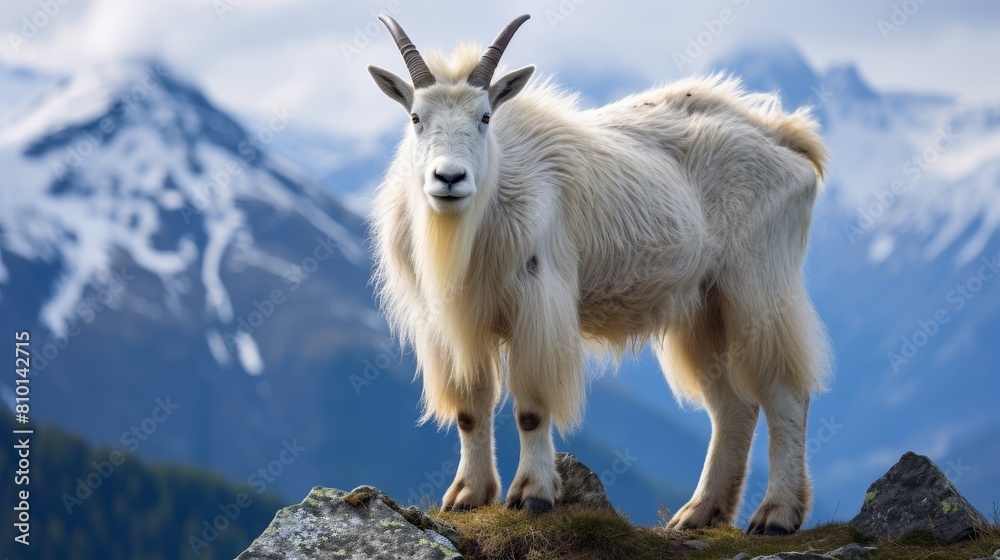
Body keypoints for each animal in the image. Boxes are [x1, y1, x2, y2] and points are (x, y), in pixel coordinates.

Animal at [367, 14, 830, 534]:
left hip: (759, 286)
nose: (449, 179)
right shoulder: (450, 323)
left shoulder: (537, 303)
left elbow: (531, 407)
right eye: (415, 117)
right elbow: (471, 408)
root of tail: (791, 142)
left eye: (485, 117)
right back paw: (699, 513)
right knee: (734, 406)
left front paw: (532, 494)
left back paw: (776, 515)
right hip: (704, 307)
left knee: (786, 393)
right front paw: (467, 496)